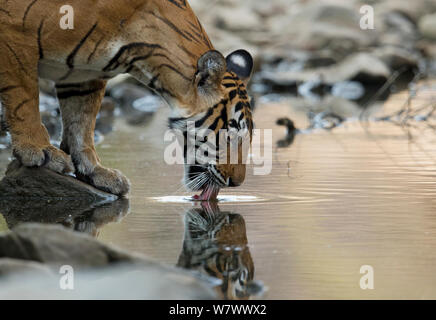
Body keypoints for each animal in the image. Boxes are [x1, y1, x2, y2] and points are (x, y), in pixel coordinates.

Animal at [0, 0, 252, 196]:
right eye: (230, 134)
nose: (237, 183)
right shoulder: (15, 36)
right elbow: (24, 100)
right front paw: (39, 150)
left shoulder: (83, 74)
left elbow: (82, 122)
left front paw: (96, 172)